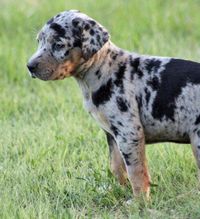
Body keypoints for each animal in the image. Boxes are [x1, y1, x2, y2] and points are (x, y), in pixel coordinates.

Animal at [27, 9, 200, 198]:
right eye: (39, 41)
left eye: (58, 45)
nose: (30, 66)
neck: (103, 70)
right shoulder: (112, 135)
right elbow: (116, 165)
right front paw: (119, 189)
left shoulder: (129, 132)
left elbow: (136, 171)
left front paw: (139, 200)